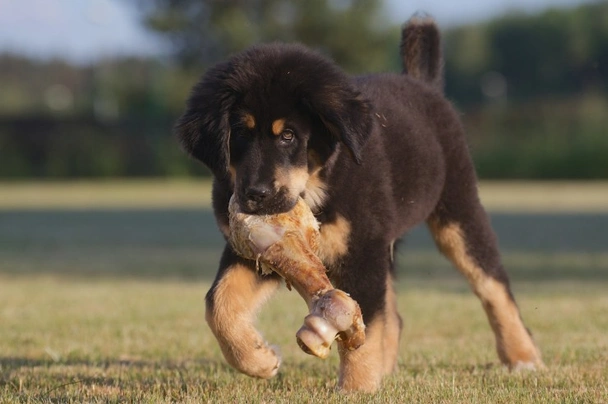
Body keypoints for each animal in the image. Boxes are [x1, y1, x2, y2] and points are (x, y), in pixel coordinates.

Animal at [175, 18, 540, 392]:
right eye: (240, 134)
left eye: (288, 136)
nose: (256, 195)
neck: (318, 184)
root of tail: (424, 85)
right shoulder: (257, 249)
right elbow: (218, 303)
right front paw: (259, 359)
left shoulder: (361, 251)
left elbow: (364, 329)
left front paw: (357, 388)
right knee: (396, 313)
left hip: (458, 211)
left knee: (494, 288)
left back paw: (523, 357)